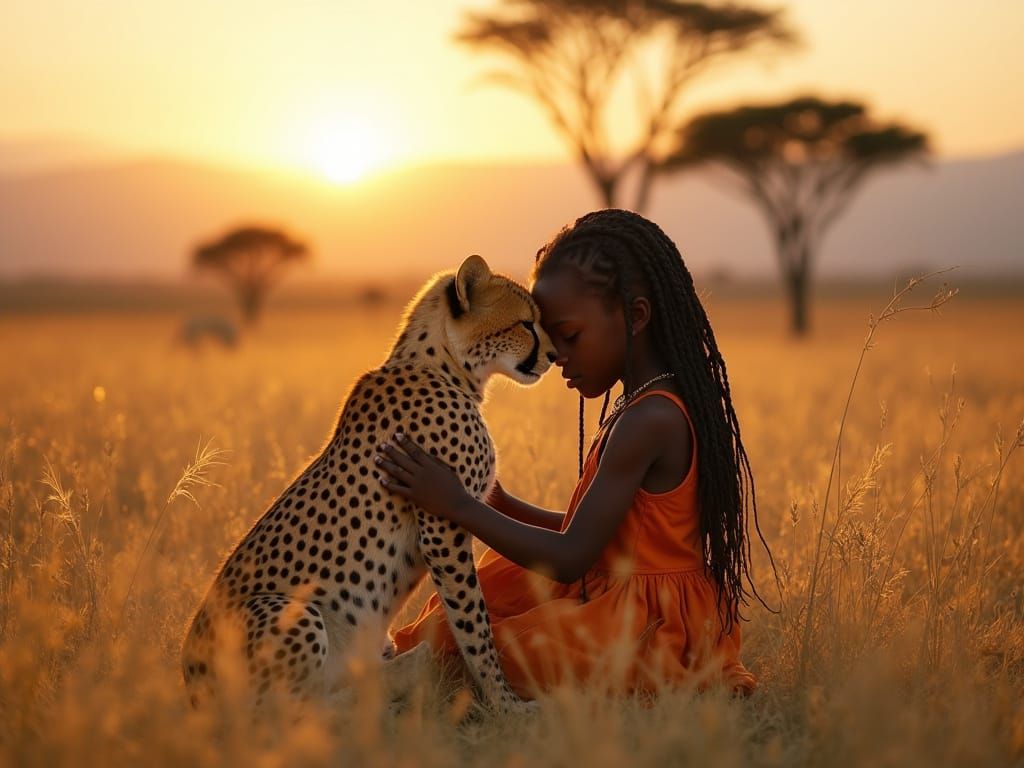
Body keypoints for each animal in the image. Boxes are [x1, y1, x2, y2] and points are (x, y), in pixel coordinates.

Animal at [181, 254, 556, 715]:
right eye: (526, 324)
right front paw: (506, 704)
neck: (443, 364)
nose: (553, 356)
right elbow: (474, 624)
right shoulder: (442, 528)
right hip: (293, 611)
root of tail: (189, 683)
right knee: (288, 713)